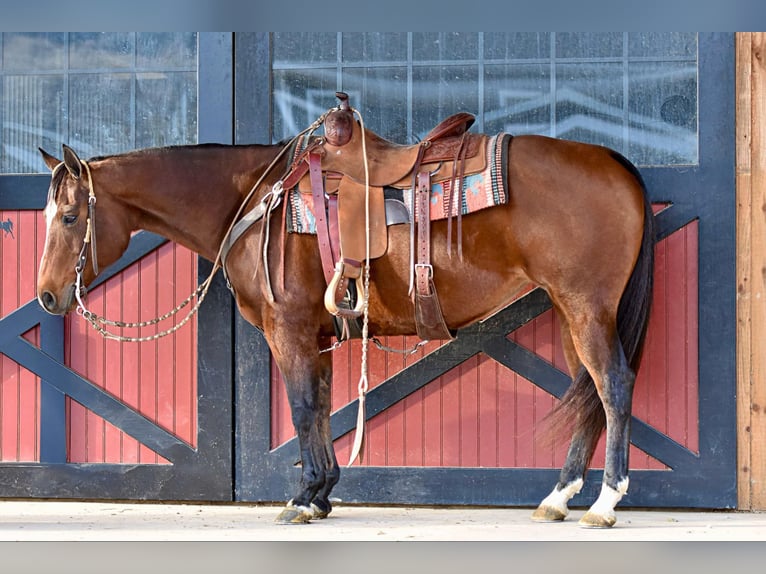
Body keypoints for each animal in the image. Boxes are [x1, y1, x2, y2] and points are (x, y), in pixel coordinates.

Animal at [36, 110, 656, 528]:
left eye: (68, 216)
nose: (44, 297)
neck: (258, 199)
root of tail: (613, 161)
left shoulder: (287, 329)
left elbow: (301, 406)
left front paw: (304, 497)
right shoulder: (319, 334)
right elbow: (320, 405)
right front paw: (322, 493)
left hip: (587, 306)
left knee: (613, 385)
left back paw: (605, 502)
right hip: (567, 309)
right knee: (586, 391)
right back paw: (558, 498)